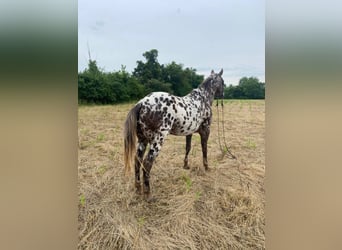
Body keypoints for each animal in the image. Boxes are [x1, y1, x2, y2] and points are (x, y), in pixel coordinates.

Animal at [124, 69, 226, 202]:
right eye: (223, 82)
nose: (223, 94)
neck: (203, 99)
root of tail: (141, 103)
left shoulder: (189, 133)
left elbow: (188, 148)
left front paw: (186, 165)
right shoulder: (206, 131)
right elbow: (205, 150)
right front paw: (207, 167)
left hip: (143, 140)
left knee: (137, 160)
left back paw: (138, 188)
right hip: (157, 140)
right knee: (147, 163)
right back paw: (148, 194)